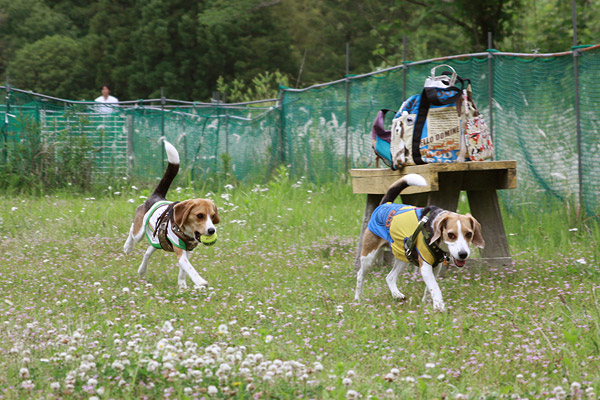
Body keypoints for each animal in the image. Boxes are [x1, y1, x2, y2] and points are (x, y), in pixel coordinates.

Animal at [122, 140, 218, 288]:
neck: (187, 232)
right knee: (133, 230)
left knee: (148, 252)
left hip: (157, 241)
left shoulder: (186, 251)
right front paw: (200, 281)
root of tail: (158, 196)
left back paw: (142, 270)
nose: (212, 230)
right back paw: (127, 247)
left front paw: (182, 286)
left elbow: (183, 271)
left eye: (212, 216)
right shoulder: (180, 251)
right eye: (200, 215)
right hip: (139, 231)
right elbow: (189, 268)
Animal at [354, 173, 486, 310]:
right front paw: (439, 306)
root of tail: (386, 204)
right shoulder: (426, 266)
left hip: (403, 257)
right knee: (360, 274)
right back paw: (358, 299)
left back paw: (396, 294)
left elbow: (430, 287)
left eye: (469, 234)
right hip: (369, 256)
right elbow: (435, 287)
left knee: (390, 277)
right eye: (451, 235)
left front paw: (427, 301)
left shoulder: (436, 266)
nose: (463, 254)